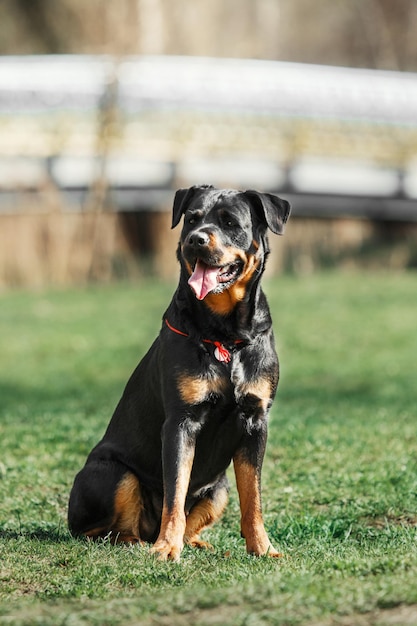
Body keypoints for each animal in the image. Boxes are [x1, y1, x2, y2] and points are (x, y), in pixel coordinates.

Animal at [68, 183, 290, 560]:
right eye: (192, 219)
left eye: (230, 222)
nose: (196, 240)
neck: (225, 334)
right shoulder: (180, 421)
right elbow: (175, 492)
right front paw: (166, 549)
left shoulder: (255, 420)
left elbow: (253, 497)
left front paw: (263, 547)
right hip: (113, 473)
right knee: (104, 529)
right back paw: (140, 542)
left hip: (219, 488)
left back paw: (198, 542)